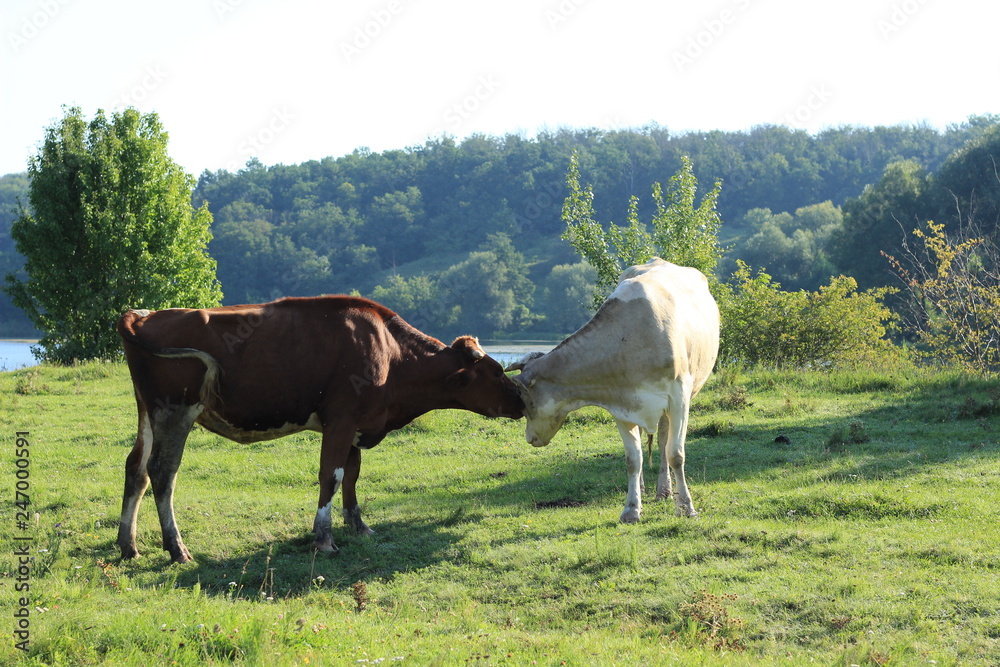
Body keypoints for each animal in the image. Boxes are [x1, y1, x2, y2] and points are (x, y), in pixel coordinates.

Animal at [116, 296, 524, 563]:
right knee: (162, 472)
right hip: (175, 411)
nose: (522, 399)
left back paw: (127, 545)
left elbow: (352, 476)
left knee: (135, 468)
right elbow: (331, 475)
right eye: (496, 371)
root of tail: (141, 315)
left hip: (147, 411)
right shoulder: (340, 420)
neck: (391, 354)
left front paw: (359, 527)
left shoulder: (358, 424)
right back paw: (177, 549)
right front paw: (324, 538)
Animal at [506, 258, 719, 523]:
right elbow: (632, 459)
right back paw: (644, 488)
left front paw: (687, 507)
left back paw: (664, 490)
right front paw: (631, 509)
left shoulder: (679, 398)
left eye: (526, 401)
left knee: (663, 442)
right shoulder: (622, 405)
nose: (529, 438)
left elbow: (676, 454)